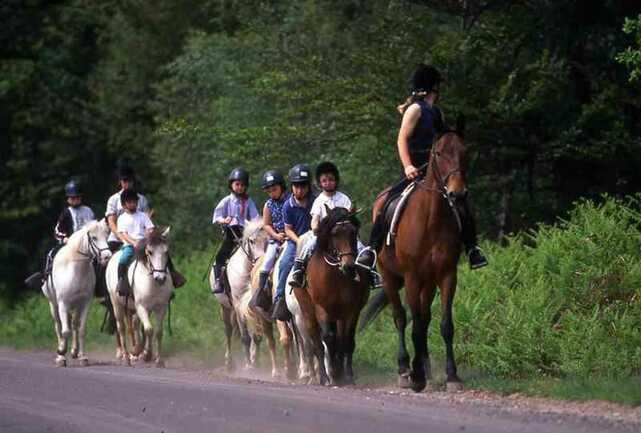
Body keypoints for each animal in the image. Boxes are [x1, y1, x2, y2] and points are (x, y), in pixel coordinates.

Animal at [41, 219, 111, 364]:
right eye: (94, 238)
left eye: (106, 236)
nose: (107, 256)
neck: (76, 270)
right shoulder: (63, 304)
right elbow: (64, 331)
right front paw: (61, 354)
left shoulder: (85, 303)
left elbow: (82, 329)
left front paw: (82, 357)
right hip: (53, 305)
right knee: (58, 326)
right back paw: (61, 352)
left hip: (75, 306)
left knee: (74, 324)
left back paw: (74, 351)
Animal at [105, 226, 174, 364]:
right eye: (150, 252)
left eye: (166, 252)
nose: (160, 278)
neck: (152, 282)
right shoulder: (142, 307)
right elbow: (149, 330)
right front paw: (146, 354)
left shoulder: (161, 308)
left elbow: (158, 332)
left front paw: (157, 359)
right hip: (116, 304)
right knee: (121, 327)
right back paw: (126, 356)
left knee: (135, 324)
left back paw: (136, 350)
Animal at [292, 206, 368, 384]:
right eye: (334, 233)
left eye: (353, 232)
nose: (349, 266)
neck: (336, 276)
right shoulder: (321, 309)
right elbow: (327, 339)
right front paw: (329, 375)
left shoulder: (351, 311)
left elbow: (347, 341)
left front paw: (347, 376)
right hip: (307, 312)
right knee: (316, 342)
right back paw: (324, 375)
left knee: (338, 339)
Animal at [362, 124, 468, 392]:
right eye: (439, 153)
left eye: (465, 151)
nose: (457, 194)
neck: (432, 218)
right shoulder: (411, 277)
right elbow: (413, 324)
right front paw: (415, 375)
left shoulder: (447, 274)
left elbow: (444, 325)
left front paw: (452, 375)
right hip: (390, 277)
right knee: (401, 318)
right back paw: (404, 368)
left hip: (428, 282)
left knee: (425, 317)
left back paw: (426, 367)